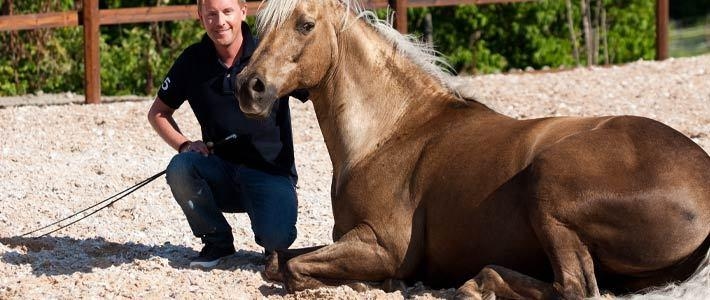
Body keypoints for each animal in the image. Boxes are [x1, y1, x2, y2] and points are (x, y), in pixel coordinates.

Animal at [235, 0, 710, 296]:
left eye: (305, 24)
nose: (248, 86)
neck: (388, 133)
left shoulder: (383, 246)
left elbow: (292, 270)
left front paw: (378, 283)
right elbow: (277, 261)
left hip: (547, 186)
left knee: (575, 288)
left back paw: (478, 285)